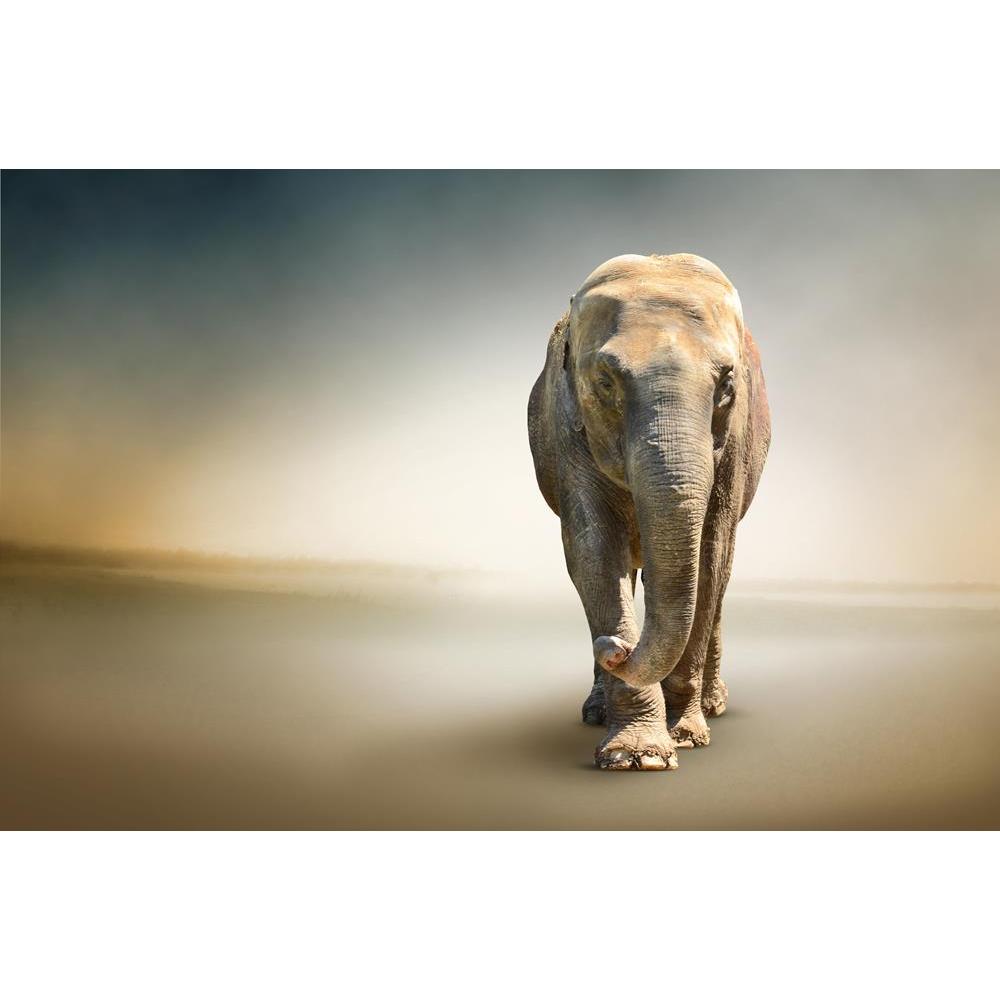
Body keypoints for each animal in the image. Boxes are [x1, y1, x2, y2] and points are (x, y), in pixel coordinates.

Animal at [527, 253, 770, 771]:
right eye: (604, 383)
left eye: (726, 385)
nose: (614, 650)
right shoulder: (566, 429)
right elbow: (594, 555)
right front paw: (636, 756)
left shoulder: (735, 445)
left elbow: (710, 557)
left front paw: (685, 737)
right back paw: (596, 710)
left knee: (720, 582)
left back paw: (714, 706)